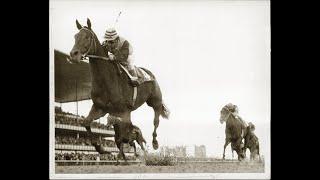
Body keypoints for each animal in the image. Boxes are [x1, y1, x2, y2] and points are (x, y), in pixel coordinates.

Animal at [69, 18, 170, 150]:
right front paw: (99, 147)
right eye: (75, 36)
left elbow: (125, 134)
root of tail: (150, 74)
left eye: (87, 37)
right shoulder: (100, 108)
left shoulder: (124, 112)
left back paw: (154, 142)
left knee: (156, 120)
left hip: (155, 101)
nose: (73, 54)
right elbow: (85, 122)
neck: (107, 81)